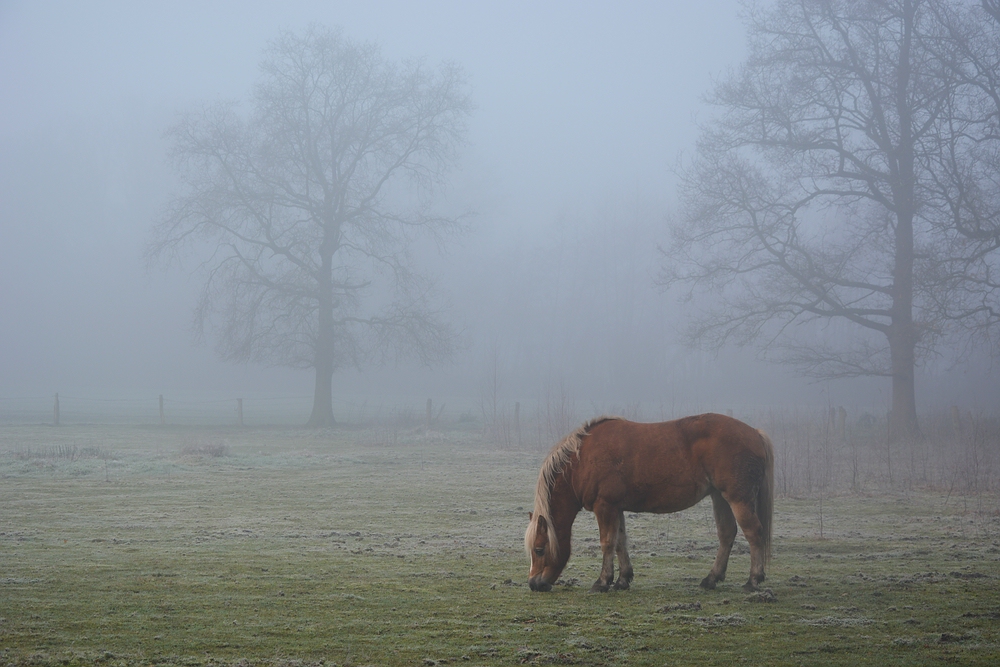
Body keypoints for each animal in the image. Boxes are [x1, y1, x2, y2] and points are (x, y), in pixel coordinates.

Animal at [528, 414, 776, 592]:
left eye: (539, 550)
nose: (533, 584)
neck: (582, 460)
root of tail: (755, 433)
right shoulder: (617, 508)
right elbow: (620, 542)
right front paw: (623, 579)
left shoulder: (605, 507)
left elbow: (607, 543)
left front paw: (603, 582)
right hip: (720, 497)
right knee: (726, 534)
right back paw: (711, 579)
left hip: (738, 499)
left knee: (753, 533)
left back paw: (753, 580)